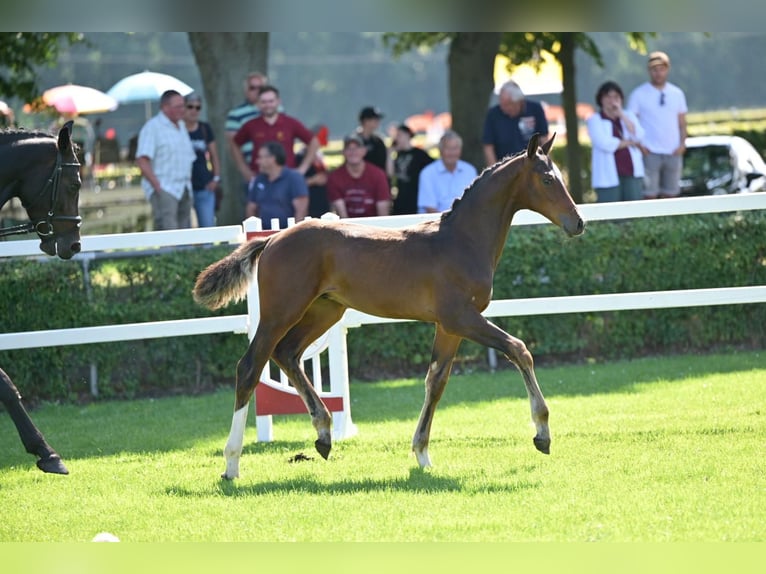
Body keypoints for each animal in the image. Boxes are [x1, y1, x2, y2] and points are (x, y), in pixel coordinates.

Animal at [194, 133, 584, 479]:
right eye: (547, 179)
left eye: (561, 177)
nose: (578, 223)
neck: (461, 241)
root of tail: (273, 238)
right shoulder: (462, 318)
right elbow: (519, 350)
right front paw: (542, 433)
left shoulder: (449, 326)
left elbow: (436, 380)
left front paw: (422, 454)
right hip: (280, 312)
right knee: (250, 367)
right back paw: (232, 464)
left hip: (325, 311)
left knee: (287, 353)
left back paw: (323, 435)